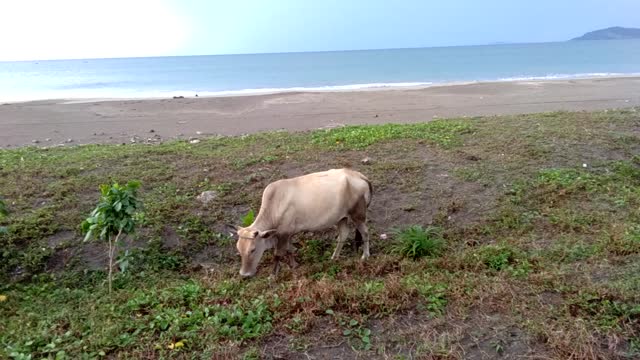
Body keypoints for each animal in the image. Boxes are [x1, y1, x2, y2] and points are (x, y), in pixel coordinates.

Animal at [231, 169, 372, 278]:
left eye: (253, 250)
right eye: (238, 249)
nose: (244, 275)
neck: (274, 206)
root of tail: (358, 175)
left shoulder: (283, 234)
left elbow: (278, 254)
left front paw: (272, 275)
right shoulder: (287, 233)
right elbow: (289, 250)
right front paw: (294, 265)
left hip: (358, 215)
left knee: (365, 233)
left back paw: (365, 256)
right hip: (341, 218)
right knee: (343, 235)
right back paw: (334, 257)